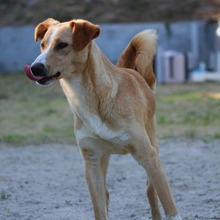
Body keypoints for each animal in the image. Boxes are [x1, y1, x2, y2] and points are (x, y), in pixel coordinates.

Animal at [24, 18, 182, 219]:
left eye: (61, 45)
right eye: (42, 45)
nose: (35, 67)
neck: (92, 99)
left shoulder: (148, 155)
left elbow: (170, 208)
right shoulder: (91, 162)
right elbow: (99, 209)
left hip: (152, 144)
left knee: (150, 190)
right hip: (104, 159)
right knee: (106, 193)